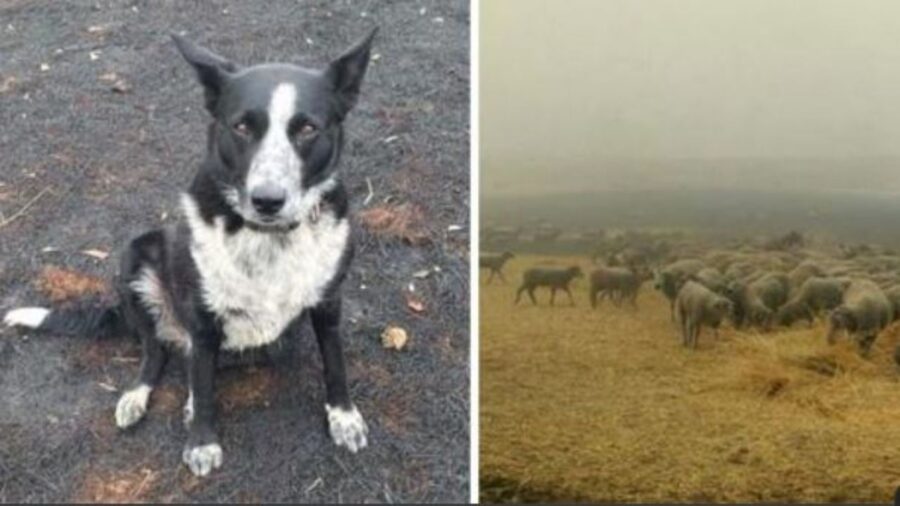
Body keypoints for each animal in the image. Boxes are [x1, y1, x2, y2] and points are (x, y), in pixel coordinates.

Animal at [4, 29, 376, 476]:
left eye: (307, 128)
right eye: (241, 126)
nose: (267, 200)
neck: (266, 238)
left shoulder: (327, 302)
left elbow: (335, 363)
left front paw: (344, 416)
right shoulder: (201, 317)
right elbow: (200, 376)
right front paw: (201, 441)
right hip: (136, 258)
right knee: (158, 352)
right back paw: (140, 396)